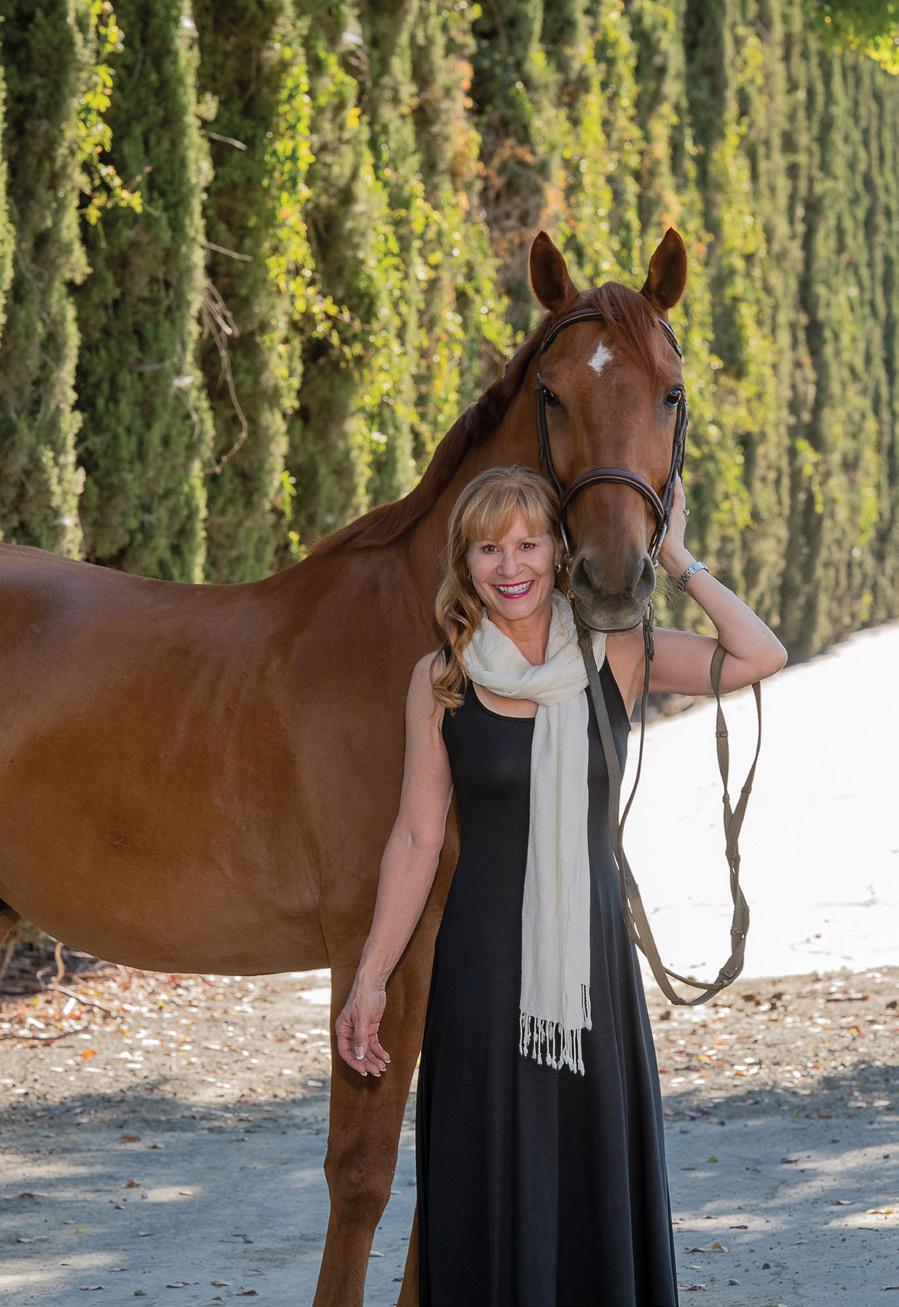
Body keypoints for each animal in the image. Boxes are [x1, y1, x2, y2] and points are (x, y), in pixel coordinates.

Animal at [0, 226, 688, 1304]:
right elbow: (360, 1173)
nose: (610, 580)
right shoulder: (376, 943)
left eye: (668, 391)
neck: (431, 633)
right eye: (552, 394)